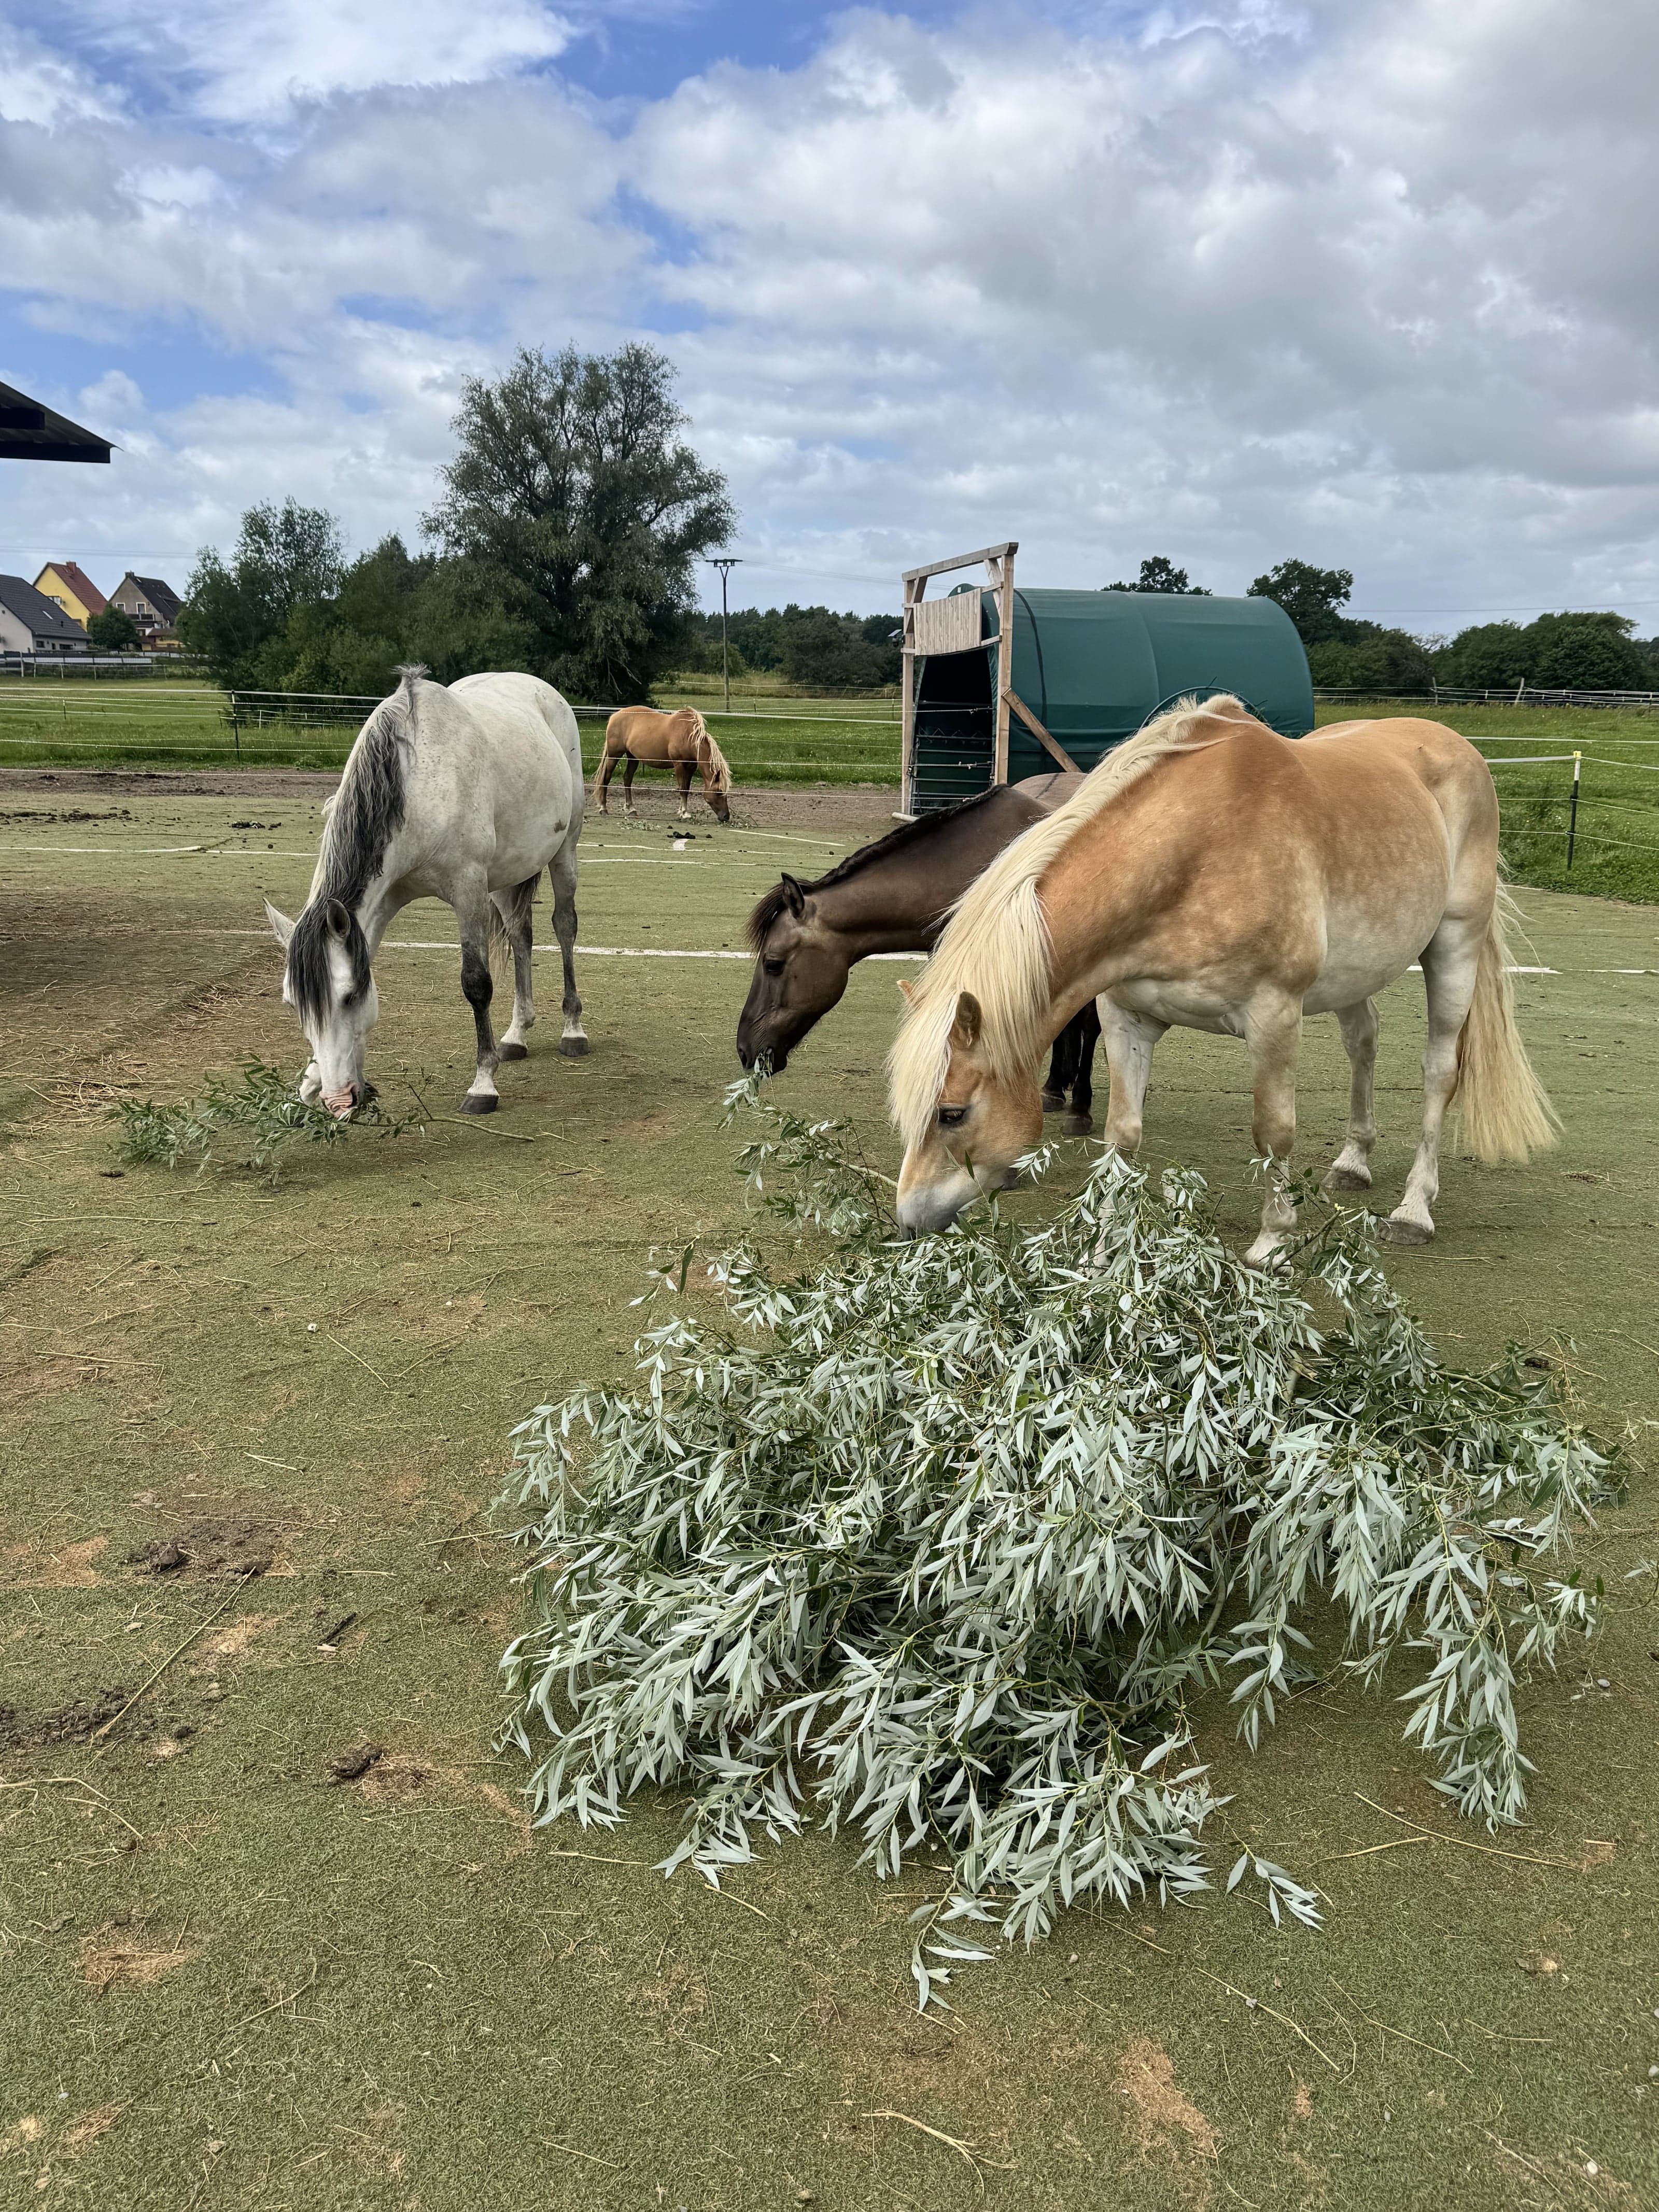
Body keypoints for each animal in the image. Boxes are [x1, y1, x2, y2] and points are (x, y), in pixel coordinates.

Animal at [264, 667, 588, 1119]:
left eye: (349, 997)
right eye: (294, 1004)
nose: (337, 1100)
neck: (415, 785)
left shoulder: (468, 889)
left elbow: (476, 983)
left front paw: (483, 1084)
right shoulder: (381, 902)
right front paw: (312, 1078)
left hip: (564, 851)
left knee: (564, 927)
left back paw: (573, 1029)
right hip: (506, 874)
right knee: (521, 935)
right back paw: (516, 1034)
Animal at [595, 706, 732, 822]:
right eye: (719, 791)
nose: (726, 817)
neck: (688, 736)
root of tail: (615, 716)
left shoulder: (691, 767)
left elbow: (687, 789)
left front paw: (682, 812)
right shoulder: (679, 765)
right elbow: (683, 789)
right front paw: (685, 814)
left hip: (633, 757)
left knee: (627, 779)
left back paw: (632, 809)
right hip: (614, 755)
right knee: (607, 778)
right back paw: (603, 809)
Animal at [888, 696, 1558, 1262]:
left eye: (951, 1113)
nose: (908, 1223)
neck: (1192, 854)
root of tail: (1455, 745)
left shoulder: (1273, 1017)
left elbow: (1273, 1132)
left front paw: (1272, 1243)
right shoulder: (1126, 1018)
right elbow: (1121, 1132)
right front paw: (1105, 1244)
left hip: (1454, 946)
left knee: (1438, 1070)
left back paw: (1413, 1210)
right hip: (1355, 973)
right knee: (1362, 1041)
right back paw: (1352, 1162)